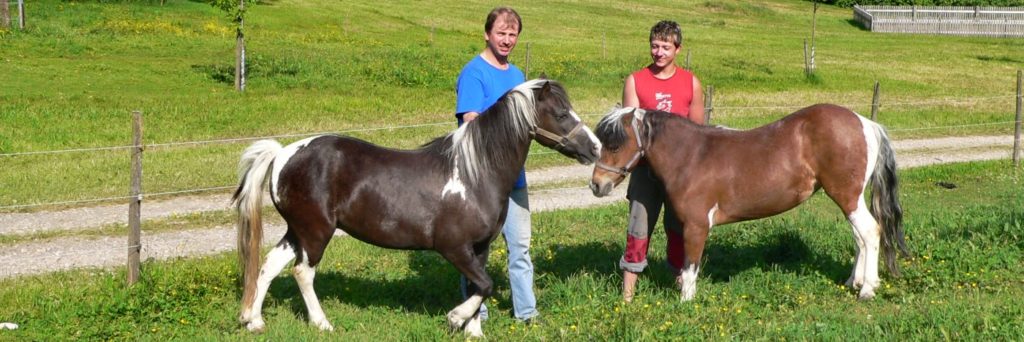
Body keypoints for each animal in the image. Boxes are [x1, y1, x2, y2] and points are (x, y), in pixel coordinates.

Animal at [232, 78, 598, 335]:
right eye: (561, 114)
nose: (594, 148)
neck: (474, 173)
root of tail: (282, 154)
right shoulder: (453, 247)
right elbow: (485, 285)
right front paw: (455, 318)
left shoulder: (479, 247)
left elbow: (479, 286)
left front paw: (473, 331)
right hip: (316, 232)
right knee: (302, 273)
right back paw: (322, 324)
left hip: (297, 230)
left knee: (267, 267)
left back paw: (254, 321)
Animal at [593, 104, 913, 301]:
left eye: (615, 144)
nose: (597, 185)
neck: (691, 156)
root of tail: (866, 123)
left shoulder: (697, 226)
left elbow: (690, 266)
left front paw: (686, 302)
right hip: (848, 198)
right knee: (860, 237)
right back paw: (853, 282)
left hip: (847, 196)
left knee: (870, 232)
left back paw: (867, 290)